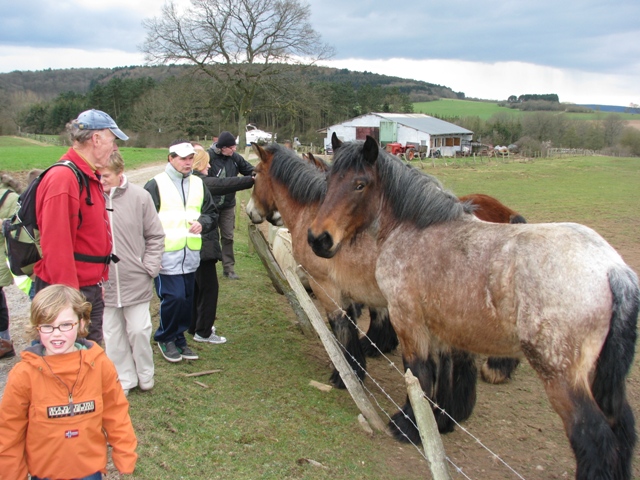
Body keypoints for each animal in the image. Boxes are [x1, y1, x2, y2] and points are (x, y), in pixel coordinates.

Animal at [308, 135, 636, 480]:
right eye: (329, 181)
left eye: (360, 185)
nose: (318, 239)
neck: (414, 229)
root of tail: (613, 269)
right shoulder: (437, 325)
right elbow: (440, 372)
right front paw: (440, 422)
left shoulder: (408, 319)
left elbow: (419, 373)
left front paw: (408, 427)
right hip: (602, 379)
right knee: (623, 429)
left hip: (561, 379)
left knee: (594, 437)